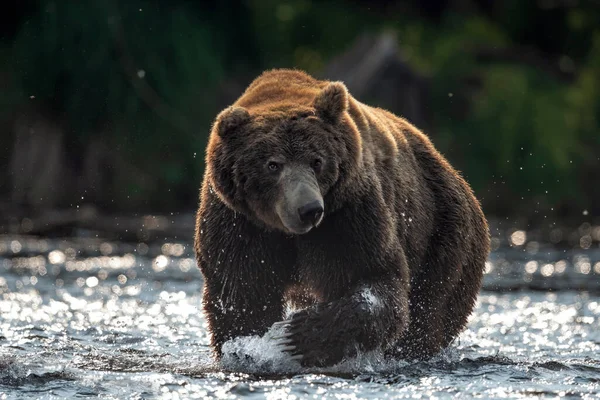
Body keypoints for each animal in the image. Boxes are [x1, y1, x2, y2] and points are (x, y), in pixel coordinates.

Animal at [195, 68, 490, 366]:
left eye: (317, 160)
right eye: (272, 164)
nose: (309, 209)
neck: (287, 233)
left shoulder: (348, 214)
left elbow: (374, 275)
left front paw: (296, 336)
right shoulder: (239, 223)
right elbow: (244, 294)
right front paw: (250, 346)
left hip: (443, 230)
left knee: (429, 310)